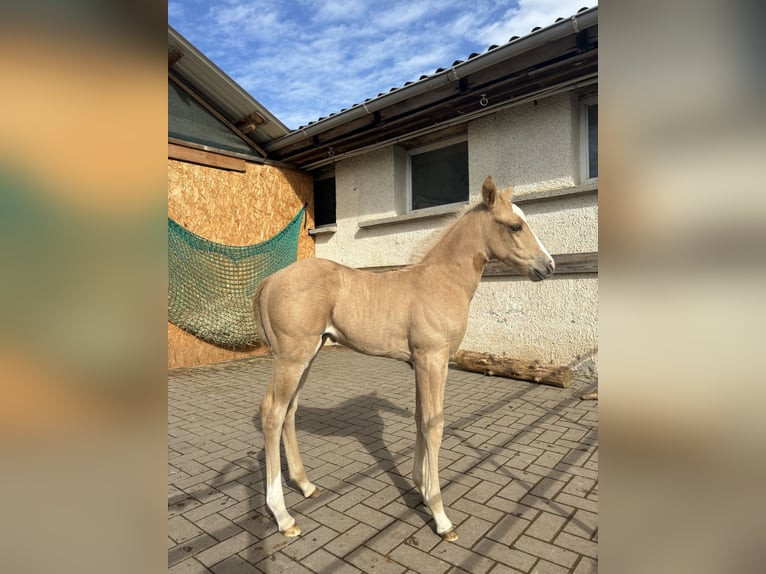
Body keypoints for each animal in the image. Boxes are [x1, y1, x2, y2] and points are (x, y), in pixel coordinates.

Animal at [255, 174, 556, 540]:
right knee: (272, 412)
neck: (440, 280)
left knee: (290, 411)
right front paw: (440, 515)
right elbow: (434, 425)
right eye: (515, 226)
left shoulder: (419, 364)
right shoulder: (433, 360)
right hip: (292, 358)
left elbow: (418, 418)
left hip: (307, 356)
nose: (549, 266)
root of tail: (270, 280)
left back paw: (305, 485)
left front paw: (421, 488)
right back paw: (283, 516)